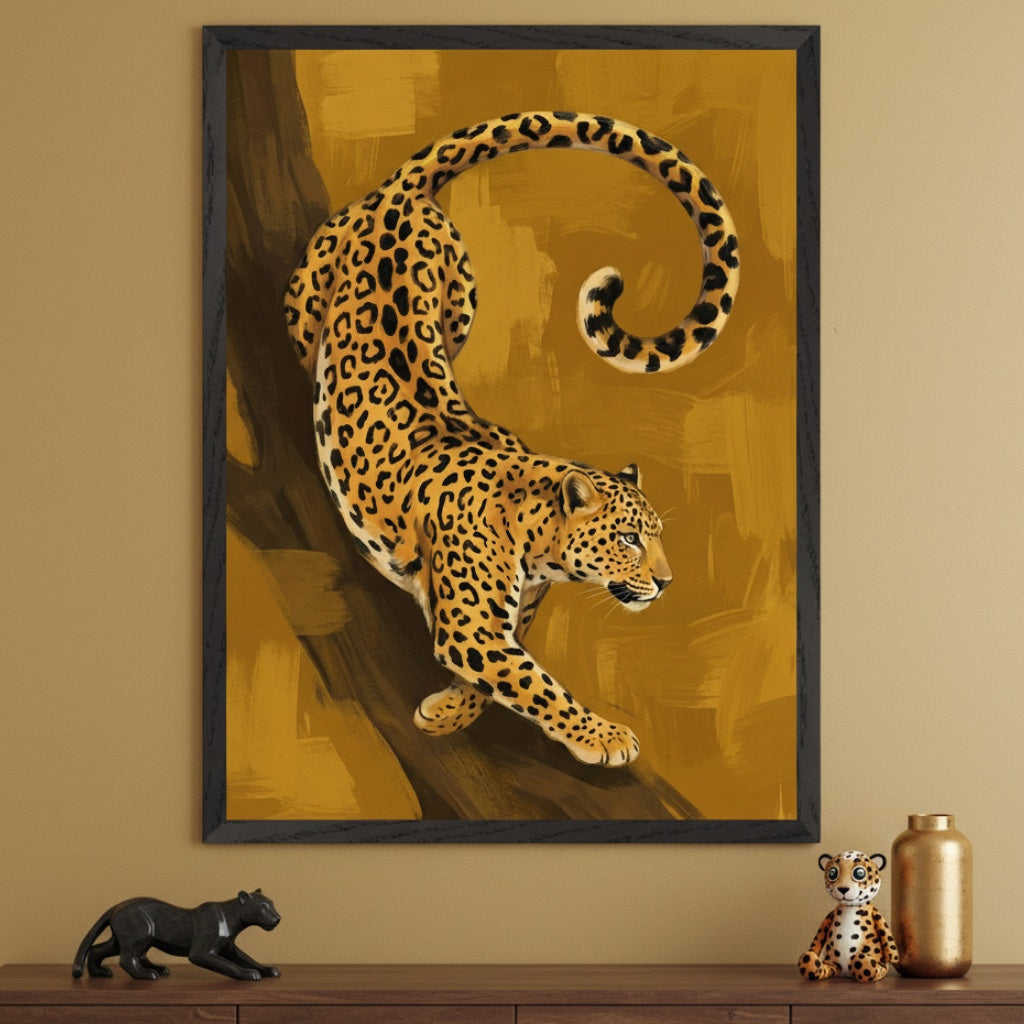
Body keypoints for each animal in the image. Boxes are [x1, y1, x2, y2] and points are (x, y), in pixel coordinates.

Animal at [283, 111, 740, 767]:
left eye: (655, 535)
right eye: (628, 539)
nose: (667, 582)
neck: (535, 538)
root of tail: (397, 193)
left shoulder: (510, 616)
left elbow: (506, 671)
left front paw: (449, 711)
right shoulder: (474, 627)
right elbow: (536, 684)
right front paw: (606, 737)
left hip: (460, 297)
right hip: (308, 302)